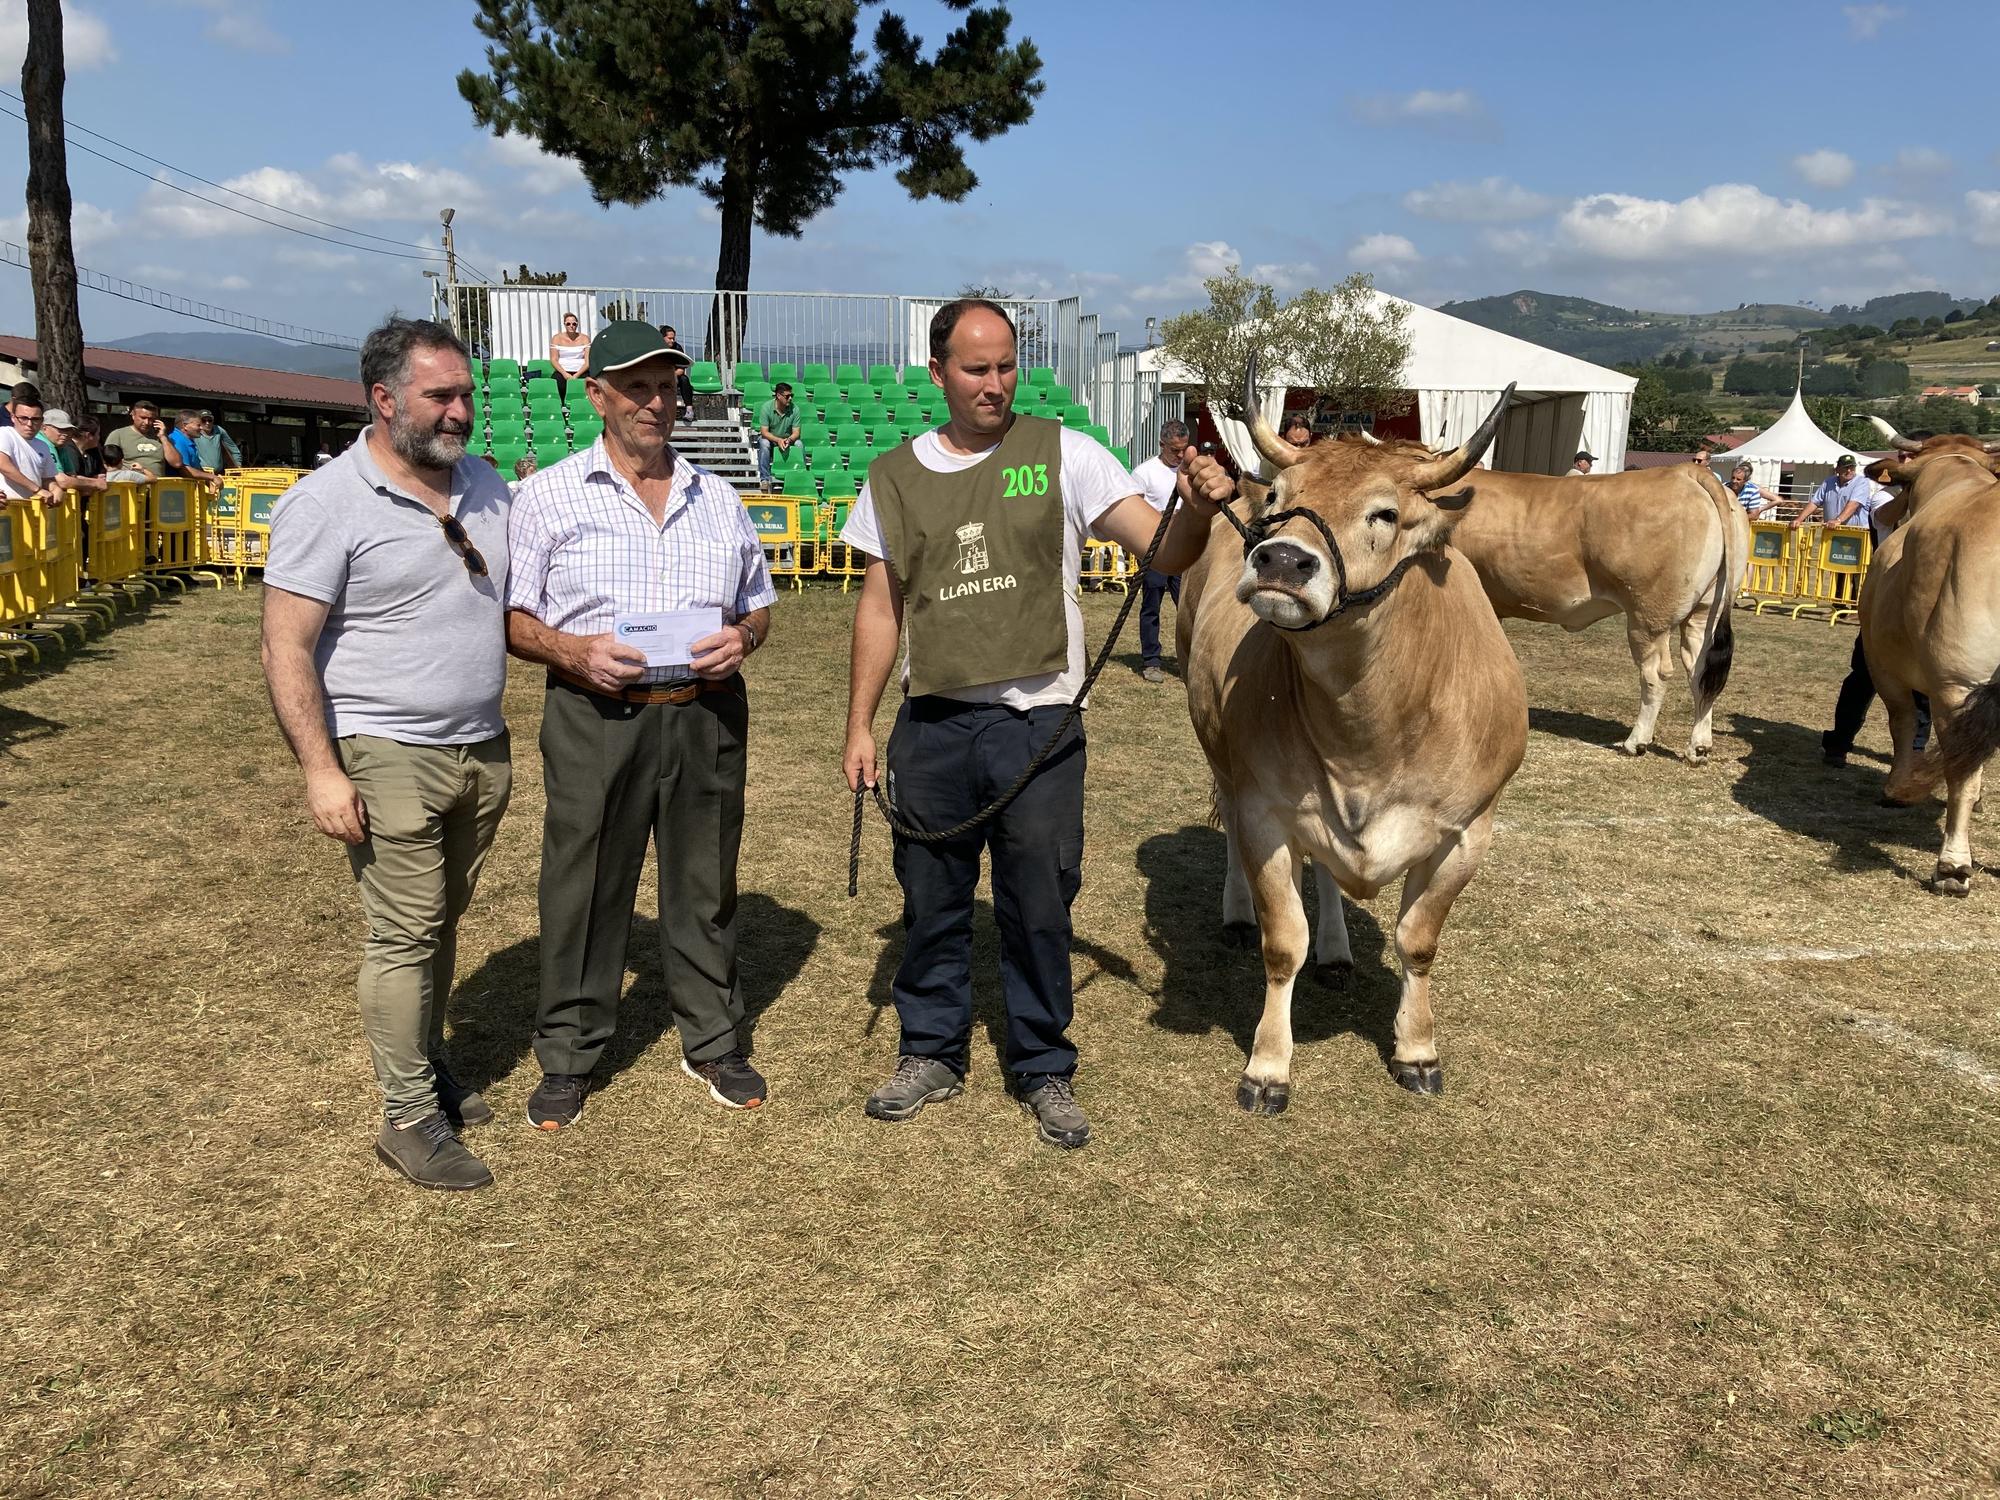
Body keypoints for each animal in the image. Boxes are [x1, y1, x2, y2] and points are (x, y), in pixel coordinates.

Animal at [1176, 366, 1520, 1112]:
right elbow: (1282, 941)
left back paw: (1336, 952)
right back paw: (1238, 914)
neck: (1369, 727)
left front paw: (1417, 1050)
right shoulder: (1266, 811)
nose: (1279, 558)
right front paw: (1268, 1066)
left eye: (1385, 514)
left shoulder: (1469, 831)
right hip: (1223, 760)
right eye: (1280, 499)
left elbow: (1418, 941)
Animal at [1440, 458, 1752, 764]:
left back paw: (1636, 742)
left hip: (1648, 616)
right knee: (1701, 670)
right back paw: (1698, 747)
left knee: (1656, 673)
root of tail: (1686, 471)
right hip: (1705, 612)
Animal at [1856, 418, 2000, 900]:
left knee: (1959, 774)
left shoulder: (1885, 665)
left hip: (1957, 684)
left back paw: (1952, 866)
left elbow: (1901, 723)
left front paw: (1895, 788)